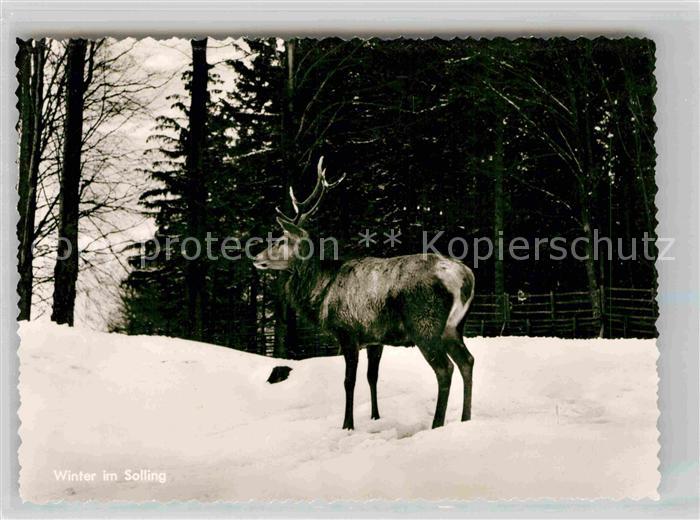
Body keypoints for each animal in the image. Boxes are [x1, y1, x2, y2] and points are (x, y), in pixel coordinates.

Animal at [253, 158, 476, 430]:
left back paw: (437, 424)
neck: (321, 291)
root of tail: (465, 278)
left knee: (445, 368)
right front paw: (375, 416)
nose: (256, 257)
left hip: (425, 323)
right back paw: (466, 418)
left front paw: (347, 424)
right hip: (454, 326)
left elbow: (349, 382)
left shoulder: (347, 331)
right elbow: (372, 377)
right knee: (467, 361)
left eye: (281, 240)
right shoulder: (374, 338)